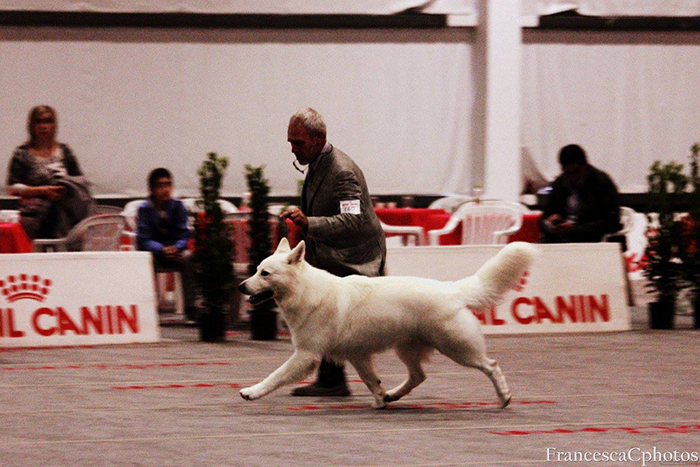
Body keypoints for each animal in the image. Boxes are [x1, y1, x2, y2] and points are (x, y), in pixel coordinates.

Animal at [238, 239, 532, 408]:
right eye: (256, 270)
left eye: (265, 273)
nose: (241, 286)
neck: (305, 290)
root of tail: (453, 289)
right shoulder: (357, 355)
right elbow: (371, 380)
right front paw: (380, 400)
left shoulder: (305, 355)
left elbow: (275, 375)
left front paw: (252, 392)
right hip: (408, 349)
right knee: (418, 376)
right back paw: (393, 395)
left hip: (458, 348)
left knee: (491, 365)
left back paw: (504, 397)